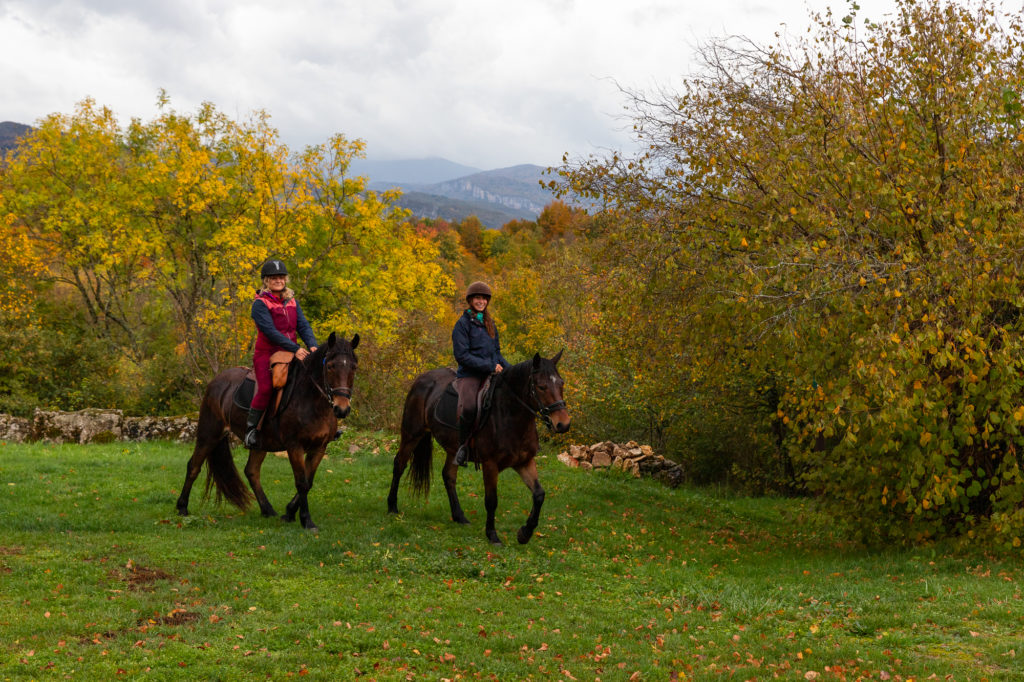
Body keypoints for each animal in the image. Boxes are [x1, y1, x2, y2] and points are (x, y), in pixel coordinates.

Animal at [172, 331, 356, 528]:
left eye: (354, 367)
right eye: (330, 366)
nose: (342, 409)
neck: (311, 400)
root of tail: (217, 381)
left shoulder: (319, 447)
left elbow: (309, 482)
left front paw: (289, 512)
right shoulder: (294, 446)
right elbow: (301, 483)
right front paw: (306, 520)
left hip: (260, 443)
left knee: (251, 471)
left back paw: (267, 509)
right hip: (209, 434)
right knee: (193, 466)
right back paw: (182, 508)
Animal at [387, 350, 573, 540]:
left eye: (561, 383)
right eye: (541, 386)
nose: (563, 424)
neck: (508, 415)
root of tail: (422, 378)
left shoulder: (524, 462)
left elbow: (539, 495)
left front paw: (525, 533)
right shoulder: (490, 464)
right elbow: (491, 500)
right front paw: (492, 535)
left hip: (453, 448)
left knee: (448, 476)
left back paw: (459, 516)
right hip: (411, 435)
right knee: (399, 465)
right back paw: (392, 507)